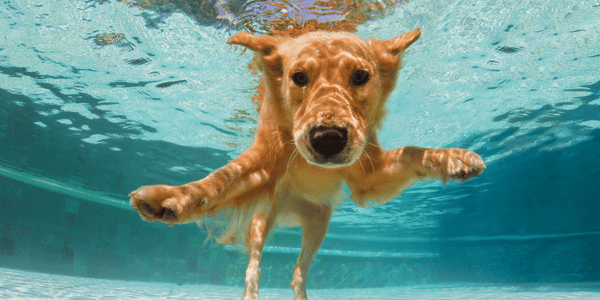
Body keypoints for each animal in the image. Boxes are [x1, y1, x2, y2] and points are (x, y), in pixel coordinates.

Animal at [129, 27, 486, 298]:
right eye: (298, 77)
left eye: (360, 76)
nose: (327, 138)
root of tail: (291, 212)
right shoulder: (261, 165)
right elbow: (219, 180)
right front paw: (171, 197)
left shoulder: (368, 176)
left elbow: (410, 151)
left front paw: (452, 158)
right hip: (262, 221)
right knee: (253, 266)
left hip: (318, 226)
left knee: (297, 273)